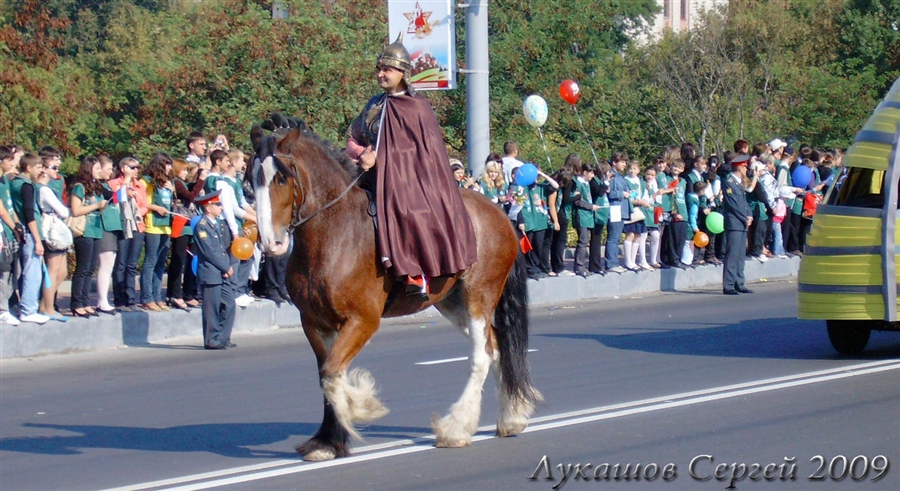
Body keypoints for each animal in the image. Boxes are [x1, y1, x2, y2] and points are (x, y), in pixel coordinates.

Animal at [248, 117, 540, 464]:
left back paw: (456, 428)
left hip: (479, 297)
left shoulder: (362, 321)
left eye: (281, 177)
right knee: (493, 348)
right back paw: (511, 417)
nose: (270, 243)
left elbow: (333, 374)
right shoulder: (315, 324)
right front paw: (327, 442)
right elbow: (326, 376)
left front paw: (363, 406)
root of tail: (498, 214)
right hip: (453, 304)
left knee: (481, 356)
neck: (335, 234)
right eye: (251, 180)